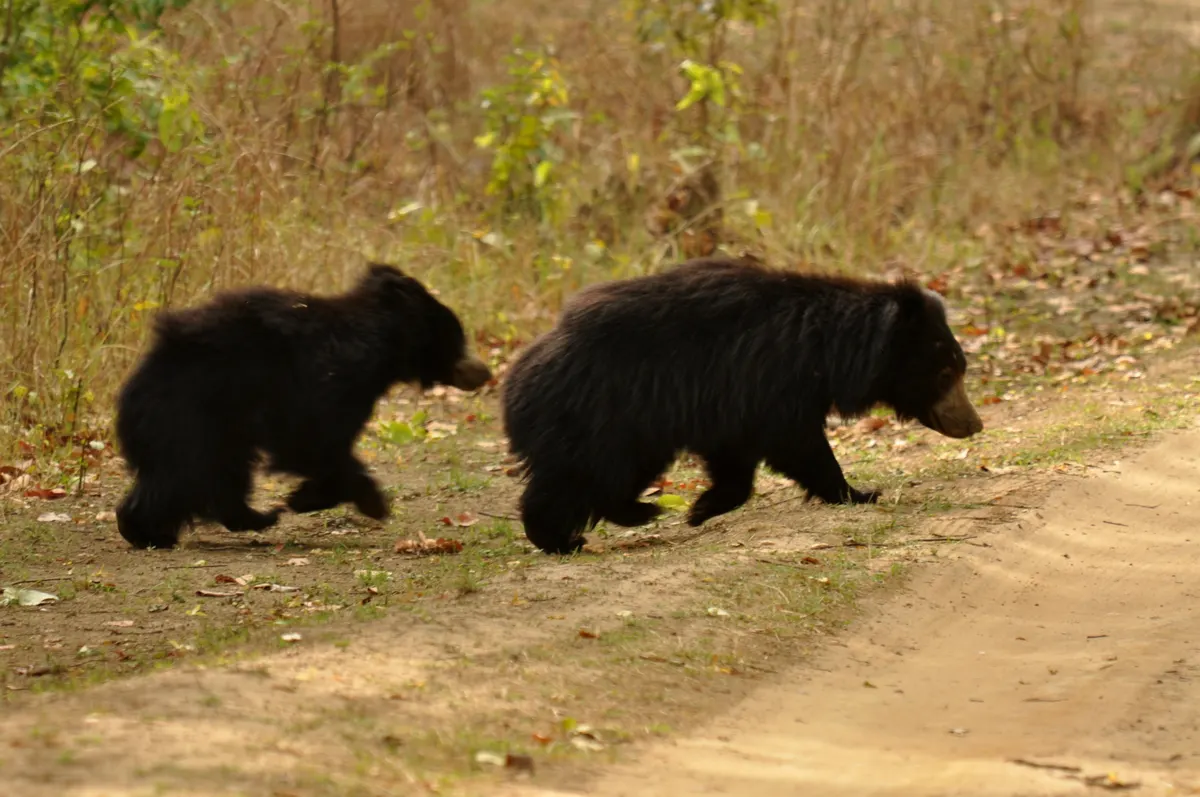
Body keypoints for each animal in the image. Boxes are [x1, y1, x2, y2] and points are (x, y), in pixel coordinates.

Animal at [115, 263, 492, 549]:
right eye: (457, 339)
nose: (485, 373)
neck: (382, 344)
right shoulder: (332, 379)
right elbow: (312, 439)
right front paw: (366, 501)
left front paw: (307, 497)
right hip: (194, 416)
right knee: (186, 474)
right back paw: (157, 531)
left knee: (217, 473)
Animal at [502, 255, 983, 555]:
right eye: (946, 373)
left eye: (960, 368)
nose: (974, 424)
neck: (830, 350)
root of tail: (517, 380)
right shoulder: (769, 382)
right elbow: (800, 445)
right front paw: (860, 493)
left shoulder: (733, 403)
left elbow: (734, 459)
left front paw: (701, 509)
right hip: (601, 418)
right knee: (584, 479)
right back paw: (572, 536)